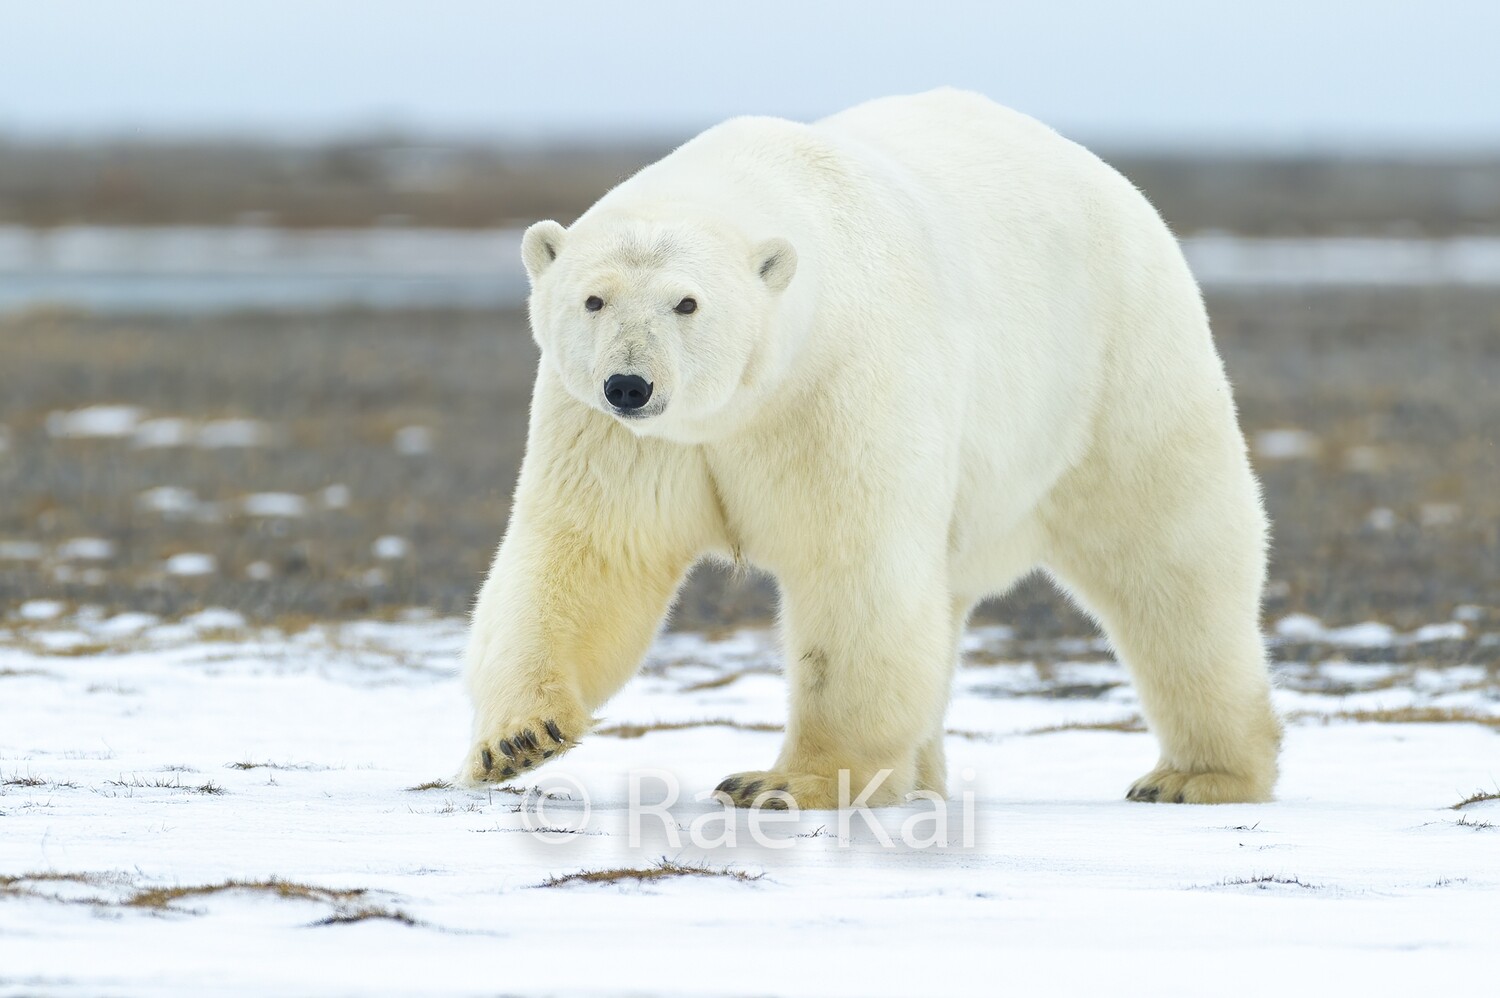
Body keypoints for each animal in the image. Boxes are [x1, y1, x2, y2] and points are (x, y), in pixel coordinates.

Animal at [459, 88, 1282, 807]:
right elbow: (591, 555)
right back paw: (920, 782)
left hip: (1115, 370)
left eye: (686, 303)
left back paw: (1196, 775)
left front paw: (784, 782)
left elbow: (854, 573)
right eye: (593, 299)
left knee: (1173, 565)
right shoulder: (616, 435)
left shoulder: (845, 385)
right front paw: (518, 739)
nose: (629, 383)